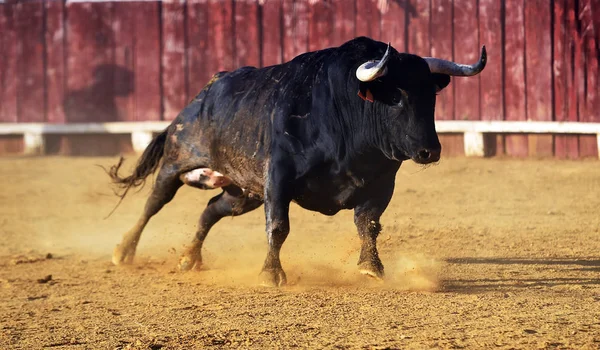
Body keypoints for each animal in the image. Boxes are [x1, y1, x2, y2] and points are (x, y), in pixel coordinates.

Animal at [108, 36, 486, 288]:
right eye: (395, 96)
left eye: (430, 95)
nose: (429, 151)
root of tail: (201, 95)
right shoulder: (279, 178)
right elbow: (278, 226)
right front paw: (270, 274)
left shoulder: (381, 184)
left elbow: (368, 225)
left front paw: (371, 268)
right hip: (176, 162)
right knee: (153, 203)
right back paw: (123, 252)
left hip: (243, 191)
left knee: (211, 210)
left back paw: (189, 258)